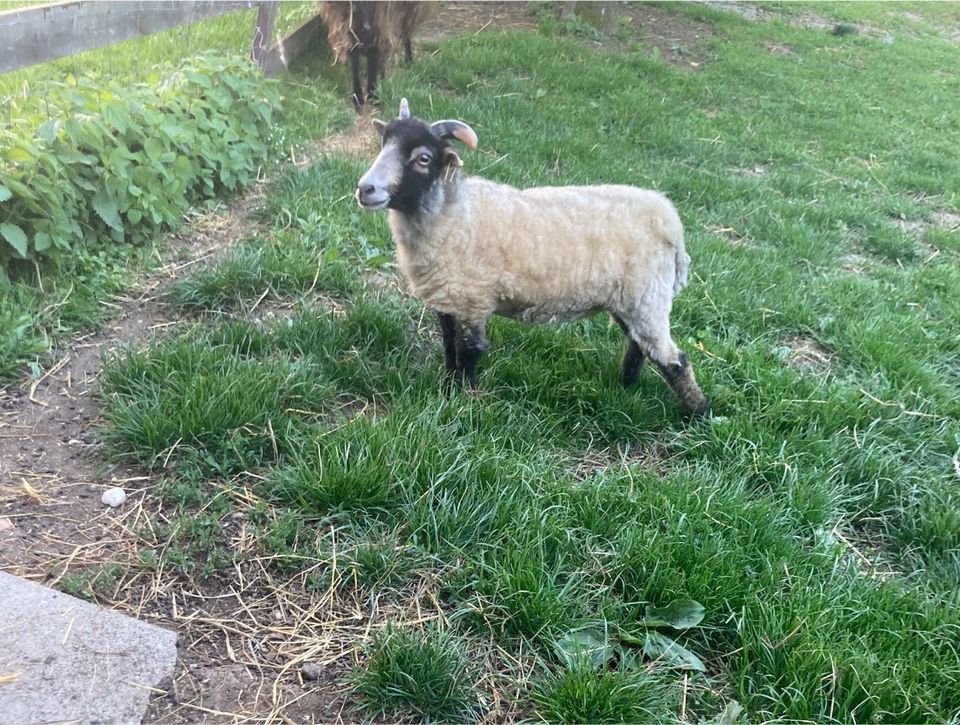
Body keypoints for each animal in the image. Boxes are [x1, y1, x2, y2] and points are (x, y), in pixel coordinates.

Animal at [356, 99, 708, 422]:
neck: (455, 216)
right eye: (384, 144)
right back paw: (626, 384)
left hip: (647, 297)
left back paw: (699, 414)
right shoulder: (449, 299)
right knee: (639, 345)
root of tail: (668, 218)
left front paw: (464, 398)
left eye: (423, 158)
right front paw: (447, 388)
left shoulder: (473, 301)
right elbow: (449, 346)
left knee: (675, 360)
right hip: (632, 301)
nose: (365, 189)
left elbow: (468, 350)